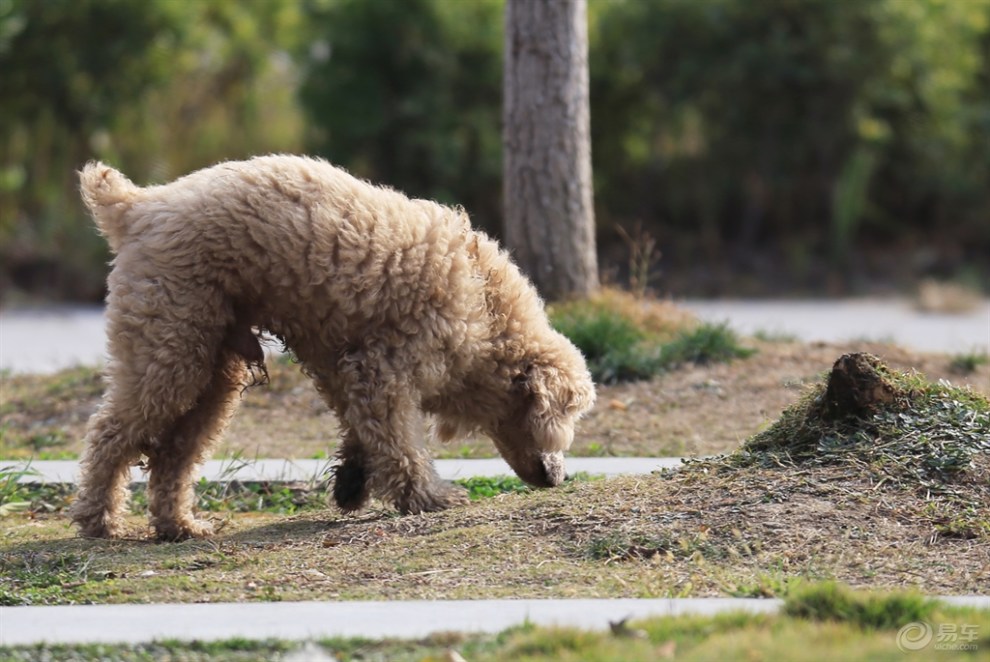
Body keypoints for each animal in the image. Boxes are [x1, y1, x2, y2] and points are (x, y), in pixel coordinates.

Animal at [73, 158, 596, 544]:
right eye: (565, 417)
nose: (557, 479)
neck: (484, 304)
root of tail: (138, 206)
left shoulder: (346, 368)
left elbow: (364, 433)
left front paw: (350, 483)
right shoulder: (384, 369)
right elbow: (399, 442)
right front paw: (428, 497)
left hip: (213, 368)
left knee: (174, 454)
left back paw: (177, 525)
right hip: (171, 350)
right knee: (109, 433)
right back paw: (99, 520)